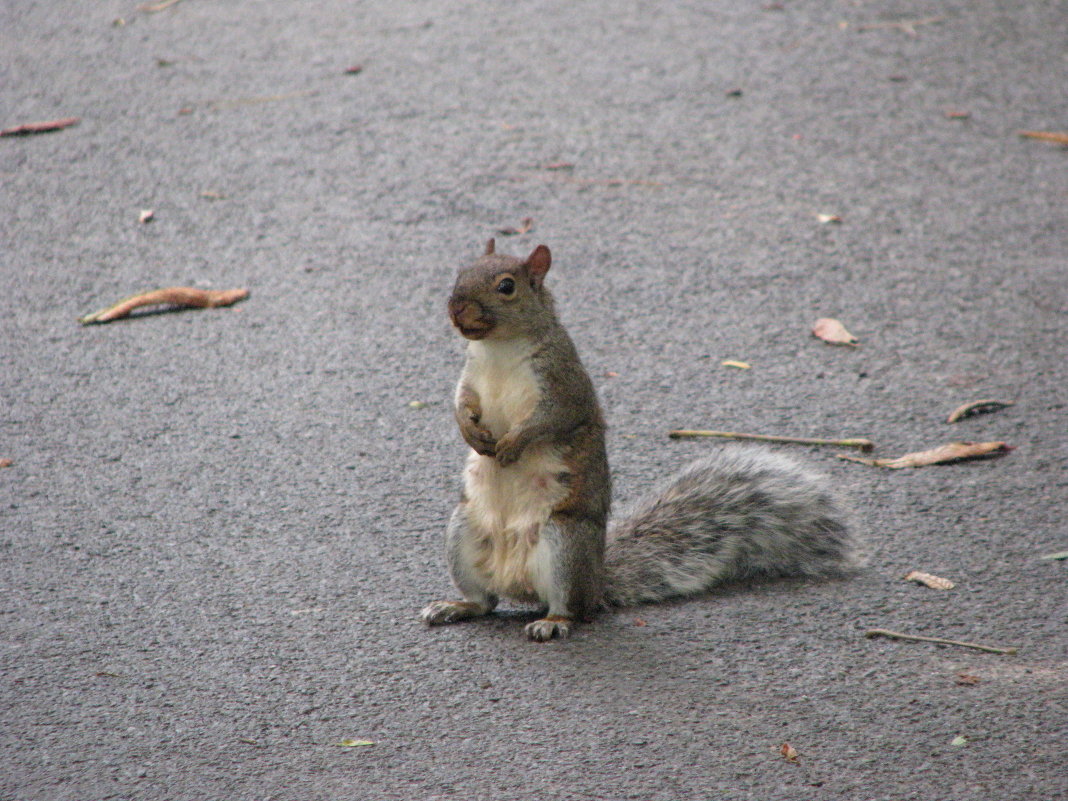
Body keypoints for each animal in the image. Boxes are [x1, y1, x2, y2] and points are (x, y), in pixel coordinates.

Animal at [420, 241, 862, 645]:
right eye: (461, 272)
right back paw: (457, 606)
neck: (498, 348)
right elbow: (460, 403)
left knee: (571, 607)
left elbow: (549, 421)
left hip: (564, 543)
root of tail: (596, 582)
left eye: (506, 286)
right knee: (485, 601)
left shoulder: (564, 386)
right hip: (463, 530)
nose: (456, 308)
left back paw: (553, 621)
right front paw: (468, 431)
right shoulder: (471, 376)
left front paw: (513, 443)